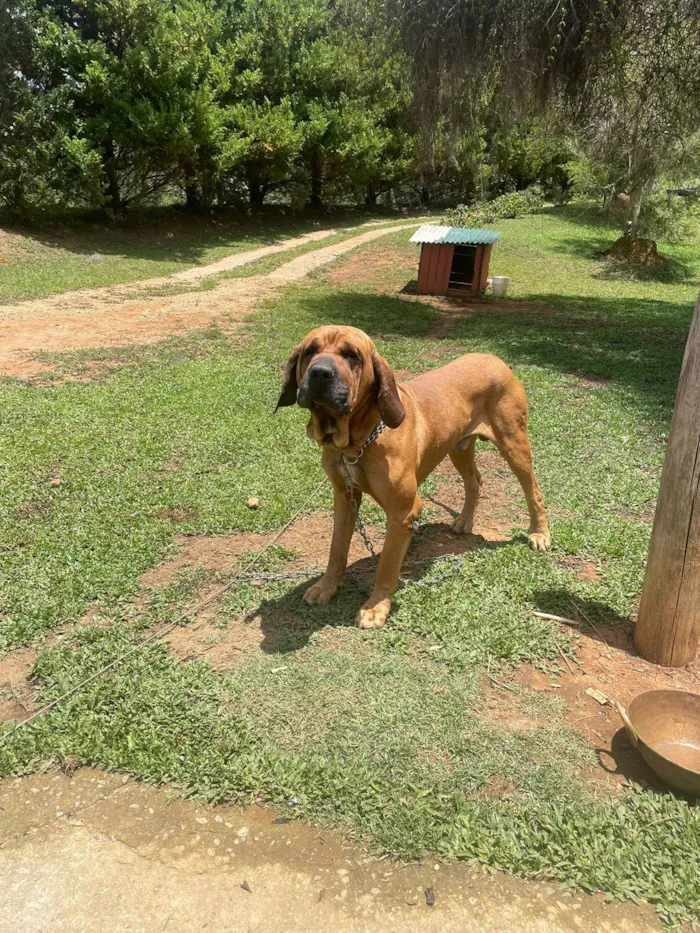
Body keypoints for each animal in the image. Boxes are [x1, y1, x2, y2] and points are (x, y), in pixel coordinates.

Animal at [276, 326, 548, 628]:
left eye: (352, 355)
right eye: (310, 351)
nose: (320, 373)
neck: (357, 442)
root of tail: (496, 359)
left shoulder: (403, 512)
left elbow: (387, 565)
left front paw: (375, 607)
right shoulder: (345, 497)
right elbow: (336, 549)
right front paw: (326, 587)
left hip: (513, 443)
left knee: (533, 489)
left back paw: (539, 533)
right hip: (458, 447)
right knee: (474, 480)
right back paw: (464, 521)